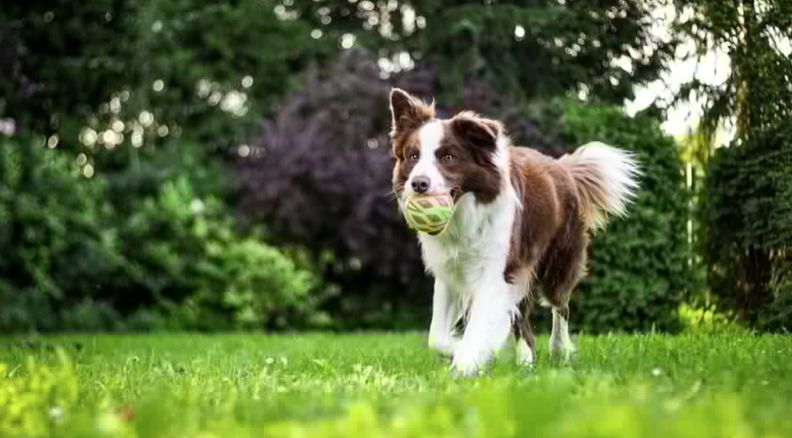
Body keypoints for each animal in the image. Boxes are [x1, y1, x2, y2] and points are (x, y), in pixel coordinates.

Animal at [390, 89, 644, 376]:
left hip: (557, 263)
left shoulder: (497, 271)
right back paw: (526, 362)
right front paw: (474, 353)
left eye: (448, 158)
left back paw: (560, 350)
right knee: (525, 323)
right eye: (412, 156)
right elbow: (437, 337)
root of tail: (563, 167)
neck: (464, 217)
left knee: (561, 306)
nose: (418, 184)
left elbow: (479, 325)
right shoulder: (450, 272)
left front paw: (466, 364)